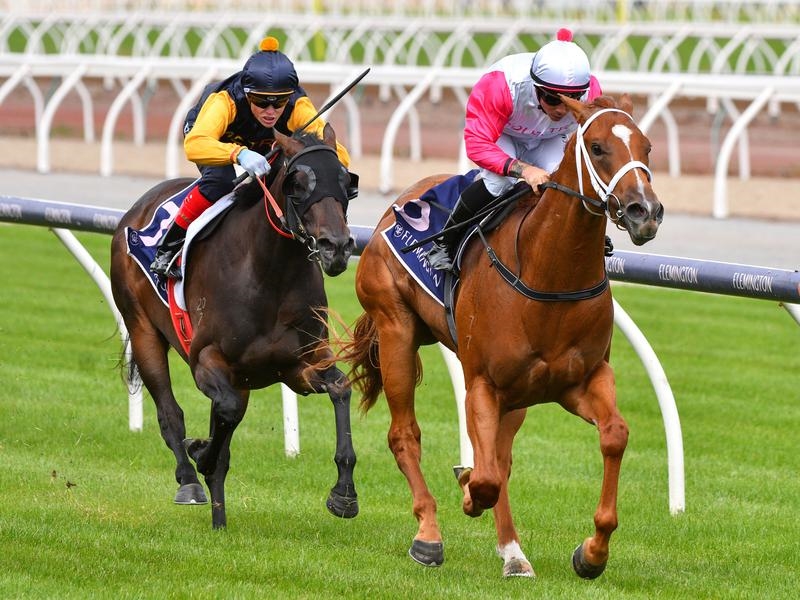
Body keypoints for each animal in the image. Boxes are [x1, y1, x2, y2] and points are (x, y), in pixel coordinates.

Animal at [109, 126, 359, 529]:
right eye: (297, 183)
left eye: (346, 181)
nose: (335, 247)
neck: (268, 274)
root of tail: (137, 208)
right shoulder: (206, 361)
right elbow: (220, 418)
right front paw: (201, 453)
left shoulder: (298, 366)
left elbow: (340, 388)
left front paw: (343, 494)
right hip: (142, 328)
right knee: (170, 413)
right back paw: (190, 482)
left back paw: (218, 515)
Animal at [340, 94, 663, 578]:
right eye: (599, 147)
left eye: (646, 146)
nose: (646, 211)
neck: (550, 274)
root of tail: (395, 207)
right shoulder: (483, 385)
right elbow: (486, 476)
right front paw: (469, 491)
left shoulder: (582, 380)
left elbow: (614, 435)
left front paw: (592, 552)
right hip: (395, 328)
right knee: (405, 435)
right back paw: (429, 534)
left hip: (517, 395)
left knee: (501, 456)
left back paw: (513, 553)